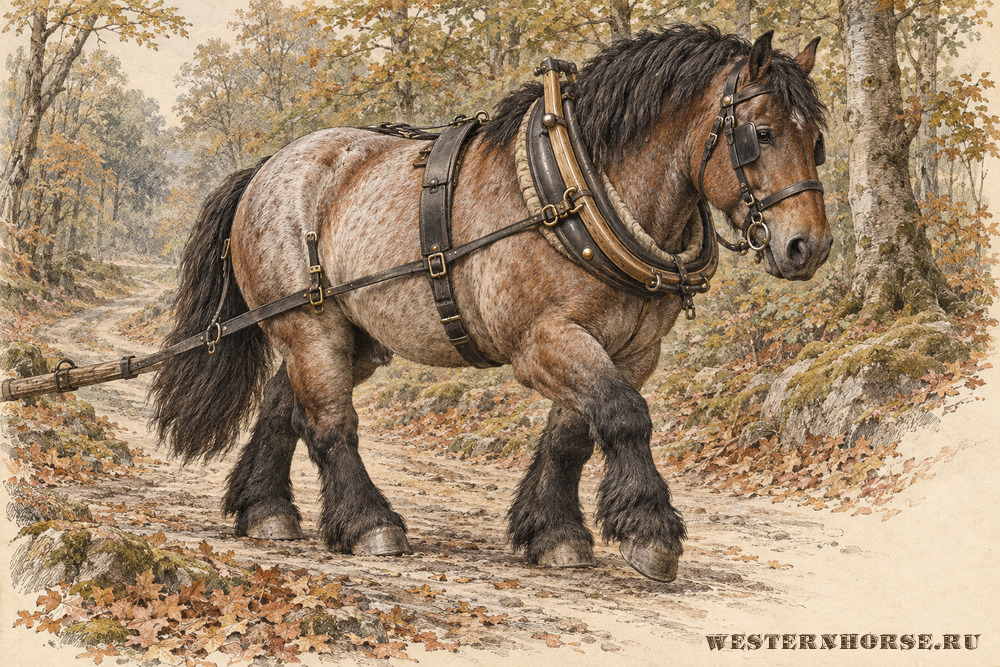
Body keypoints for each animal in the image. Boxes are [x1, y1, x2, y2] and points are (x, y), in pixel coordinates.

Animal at [149, 24, 831, 582]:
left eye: (818, 142)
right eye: (761, 134)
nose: (809, 246)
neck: (577, 192)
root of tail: (268, 168)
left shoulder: (630, 350)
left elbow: (572, 437)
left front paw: (552, 532)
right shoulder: (544, 340)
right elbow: (625, 415)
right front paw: (650, 532)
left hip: (351, 335)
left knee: (282, 407)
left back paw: (265, 509)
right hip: (309, 324)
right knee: (330, 426)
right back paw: (370, 524)